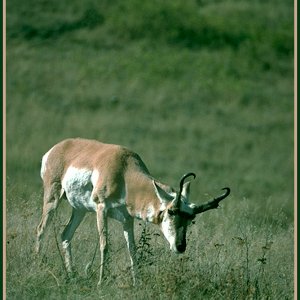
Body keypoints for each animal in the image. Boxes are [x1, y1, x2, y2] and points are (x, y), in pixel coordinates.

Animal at [36, 138, 231, 286]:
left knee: (65, 235)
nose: (180, 246)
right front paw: (101, 282)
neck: (124, 171)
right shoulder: (101, 209)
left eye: (191, 218)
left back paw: (71, 275)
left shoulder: (127, 219)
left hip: (79, 210)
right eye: (171, 212)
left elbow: (132, 249)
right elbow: (105, 244)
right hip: (52, 199)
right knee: (41, 229)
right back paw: (37, 263)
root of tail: (57, 147)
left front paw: (136, 283)